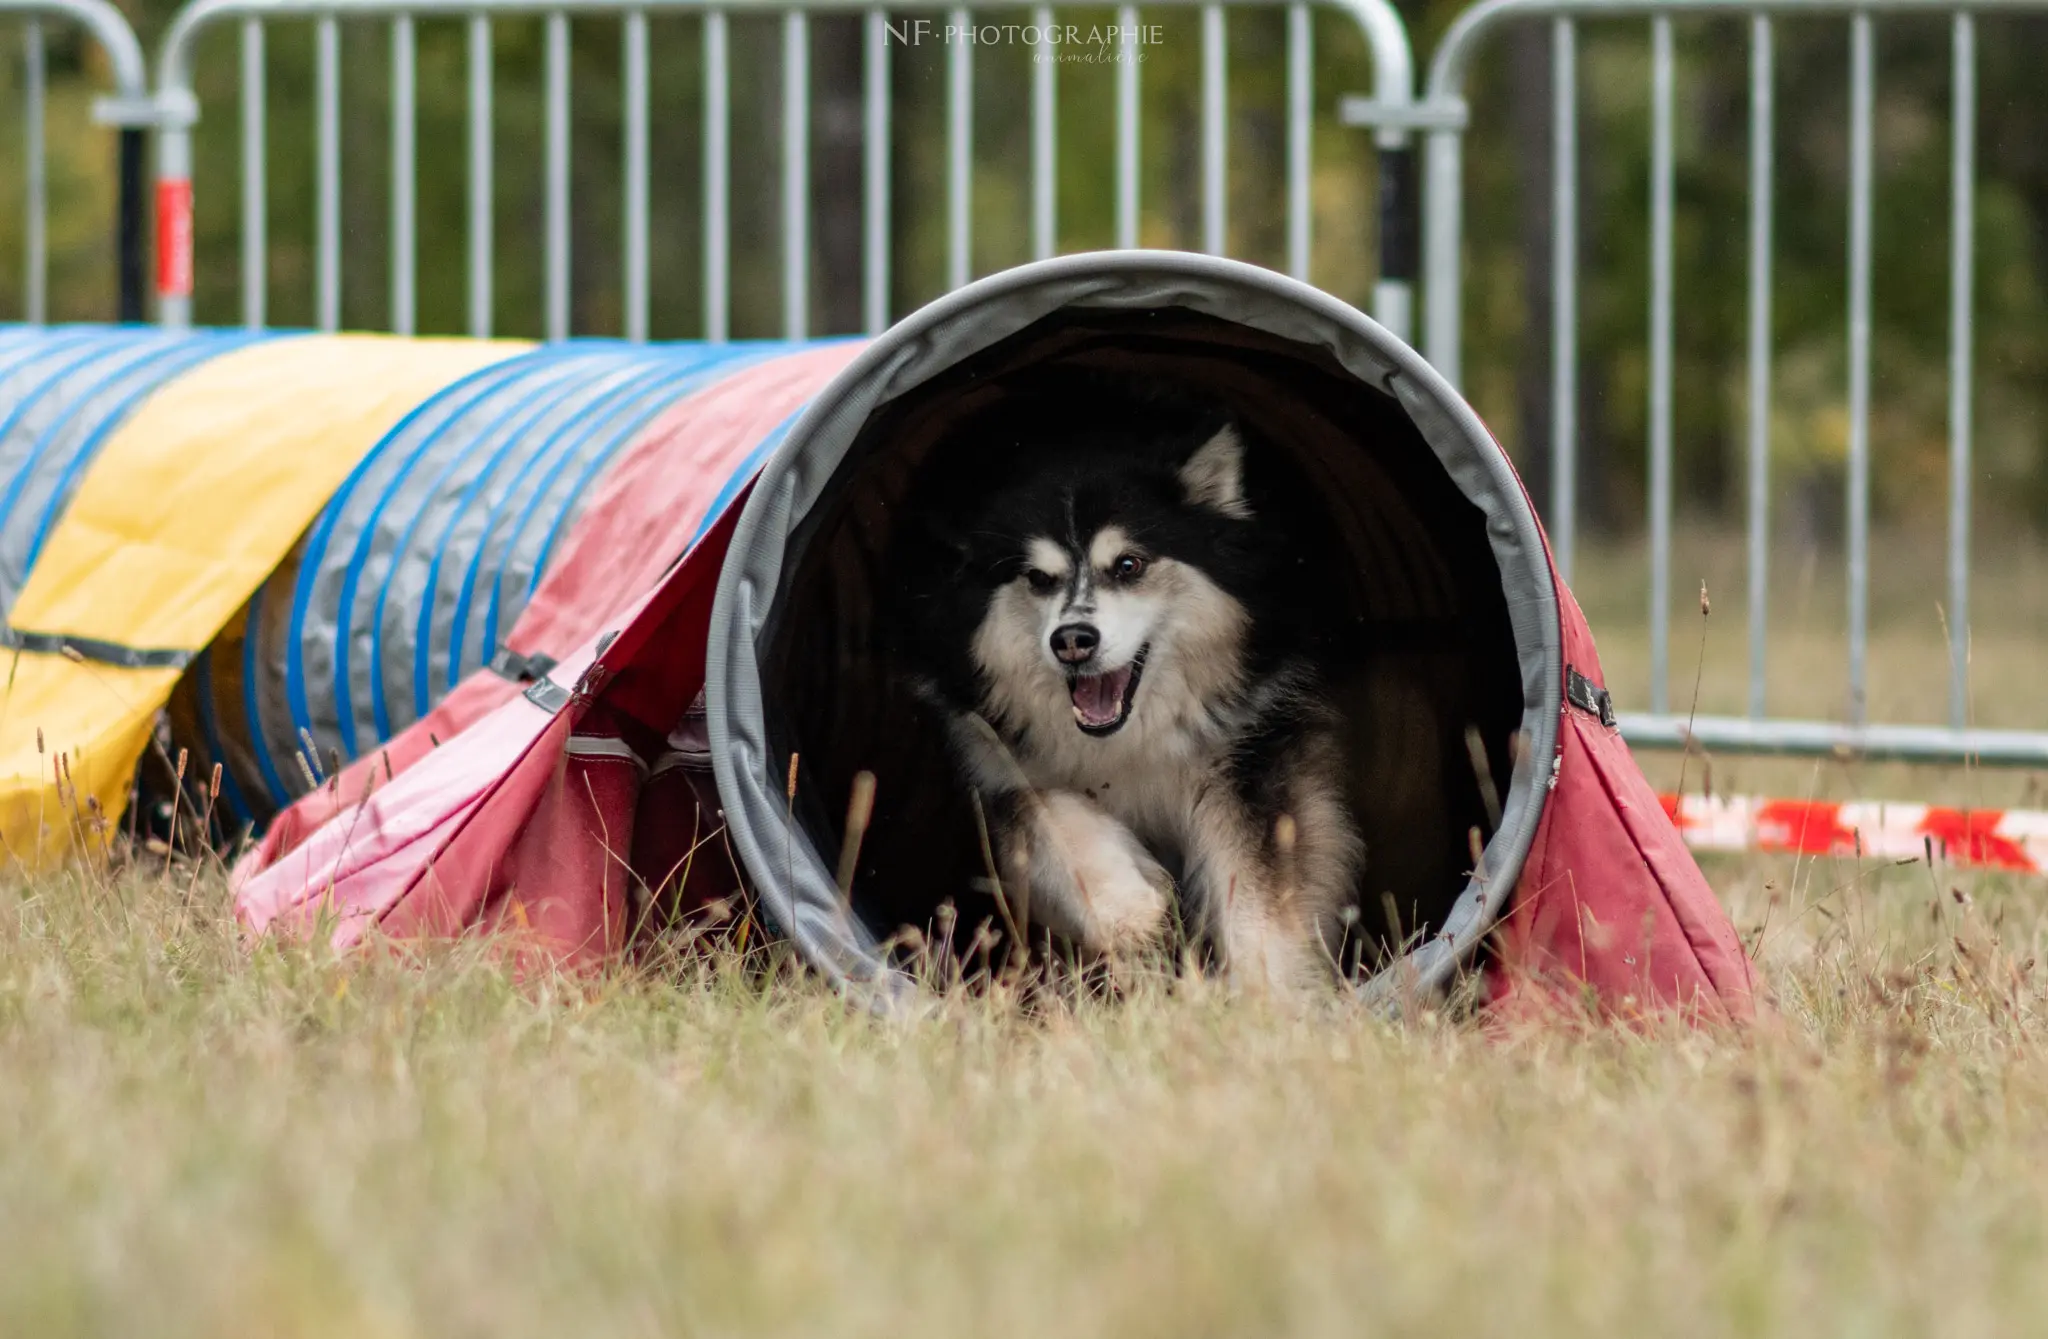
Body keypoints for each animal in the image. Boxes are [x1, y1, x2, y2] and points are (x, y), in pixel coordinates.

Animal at [892, 382, 1359, 990]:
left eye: (1129, 565)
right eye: (1037, 578)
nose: (1073, 640)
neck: (1128, 741)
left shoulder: (1252, 754)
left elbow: (1260, 896)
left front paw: (1268, 993)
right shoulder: (1000, 765)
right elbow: (1060, 831)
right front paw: (1137, 915)